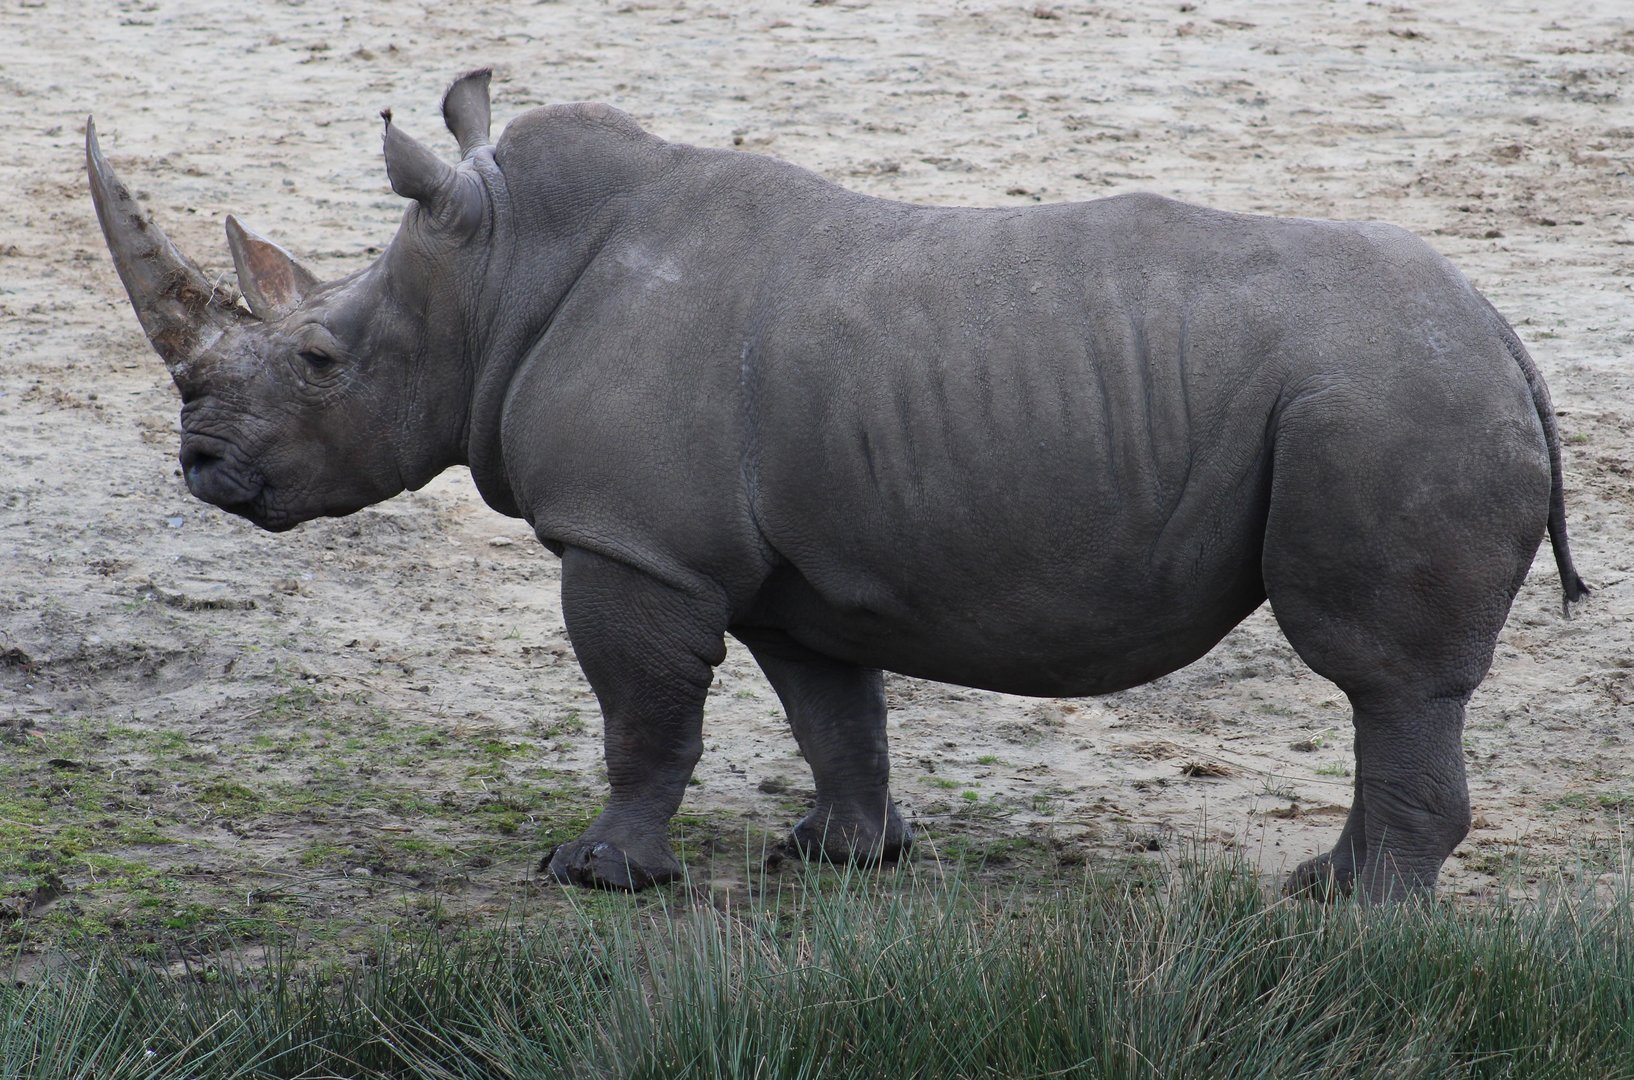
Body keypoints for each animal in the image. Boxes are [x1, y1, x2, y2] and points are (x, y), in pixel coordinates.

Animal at [88, 70, 1587, 901]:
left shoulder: (632, 544)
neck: (499, 270)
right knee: (1391, 684)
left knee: (1381, 675)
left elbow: (644, 718)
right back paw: (1332, 890)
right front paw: (841, 857)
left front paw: (595, 878)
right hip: (1401, 397)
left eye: (320, 361)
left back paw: (1347, 910)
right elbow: (831, 711)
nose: (201, 469)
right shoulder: (779, 567)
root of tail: (1510, 343)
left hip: (1385, 405)